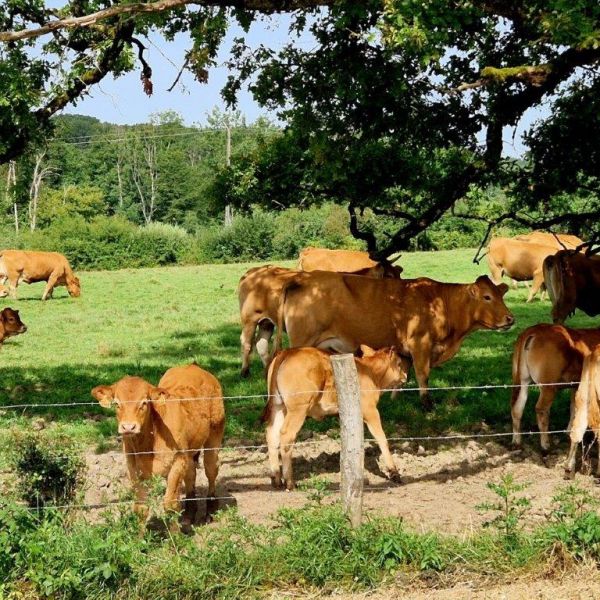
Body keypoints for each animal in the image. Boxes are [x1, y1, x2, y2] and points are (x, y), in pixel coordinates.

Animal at [91, 360, 225, 524]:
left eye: (144, 403)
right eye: (117, 404)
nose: (128, 427)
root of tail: (194, 366)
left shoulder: (177, 463)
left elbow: (171, 505)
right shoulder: (133, 467)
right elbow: (141, 507)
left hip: (215, 433)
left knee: (211, 469)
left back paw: (211, 510)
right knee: (191, 474)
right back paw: (189, 513)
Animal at [264, 344, 410, 490]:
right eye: (399, 363)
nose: (405, 376)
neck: (371, 372)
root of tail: (288, 351)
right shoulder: (370, 410)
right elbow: (382, 438)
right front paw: (394, 472)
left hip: (278, 406)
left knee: (272, 434)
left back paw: (276, 478)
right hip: (298, 408)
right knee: (286, 435)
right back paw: (290, 482)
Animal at [274, 270, 512, 408]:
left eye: (501, 296)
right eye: (487, 297)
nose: (510, 318)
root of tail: (300, 279)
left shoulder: (404, 350)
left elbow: (402, 375)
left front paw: (394, 400)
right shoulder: (420, 344)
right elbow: (422, 375)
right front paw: (427, 405)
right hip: (302, 341)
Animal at [508, 324, 600, 454]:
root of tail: (532, 330)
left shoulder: (575, 385)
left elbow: (573, 406)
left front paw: (568, 431)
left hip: (522, 381)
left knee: (517, 407)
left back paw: (516, 441)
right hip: (548, 386)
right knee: (541, 409)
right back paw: (545, 445)